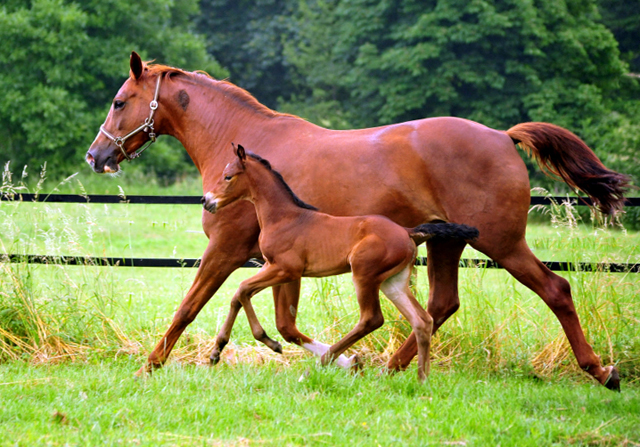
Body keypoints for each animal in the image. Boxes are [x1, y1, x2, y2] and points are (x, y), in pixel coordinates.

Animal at [202, 144, 478, 382]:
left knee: (372, 319)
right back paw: (422, 379)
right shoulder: (280, 270)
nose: (207, 201)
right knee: (422, 320)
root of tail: (408, 232)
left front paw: (269, 342)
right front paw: (216, 352)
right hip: (393, 282)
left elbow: (242, 290)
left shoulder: (284, 268)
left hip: (364, 274)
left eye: (228, 176)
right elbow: (241, 296)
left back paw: (319, 366)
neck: (284, 217)